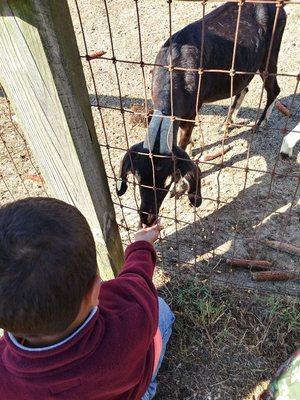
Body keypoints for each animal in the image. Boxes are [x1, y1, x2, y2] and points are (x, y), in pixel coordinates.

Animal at [117, 1, 286, 225]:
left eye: (167, 180)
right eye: (137, 178)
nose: (147, 218)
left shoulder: (190, 114)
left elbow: (182, 142)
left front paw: (179, 188)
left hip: (270, 55)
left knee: (274, 88)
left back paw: (259, 124)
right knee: (245, 86)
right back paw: (227, 123)